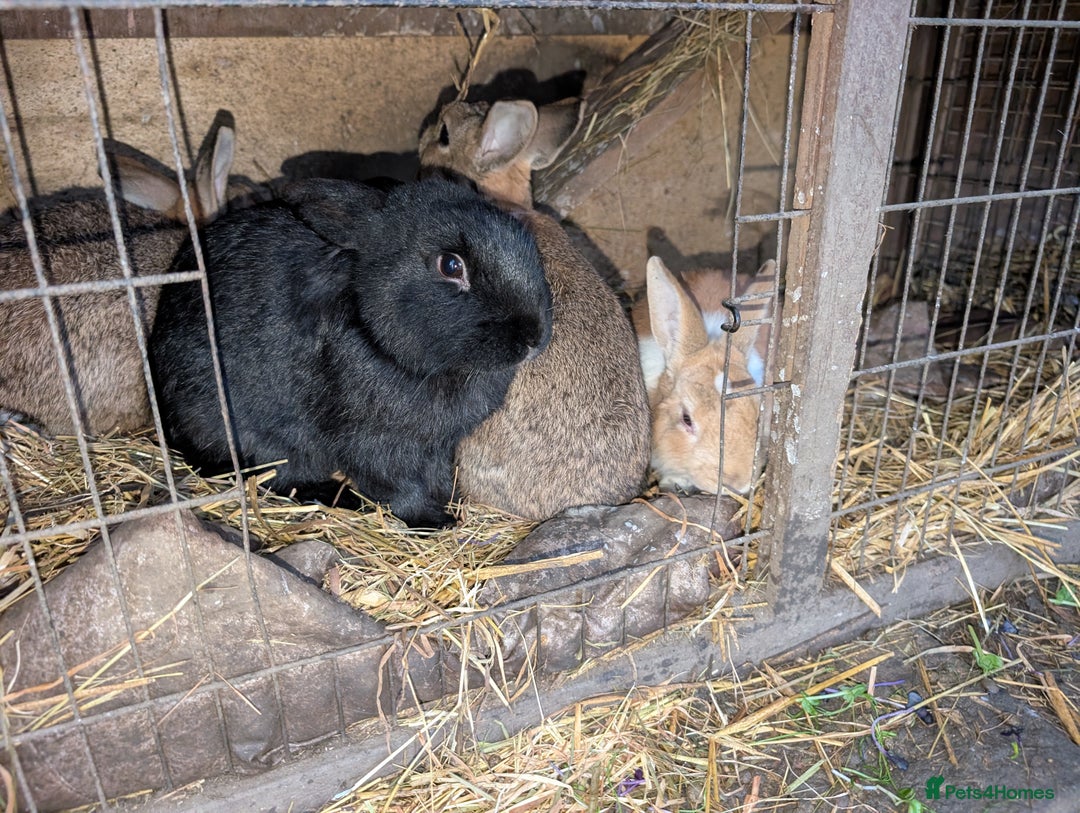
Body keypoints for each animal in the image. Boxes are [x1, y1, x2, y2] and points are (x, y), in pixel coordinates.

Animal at [148, 176, 553, 529]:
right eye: (450, 264)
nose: (532, 336)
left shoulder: (438, 447)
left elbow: (437, 476)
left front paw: (452, 503)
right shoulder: (375, 443)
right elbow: (397, 487)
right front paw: (435, 521)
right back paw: (339, 497)